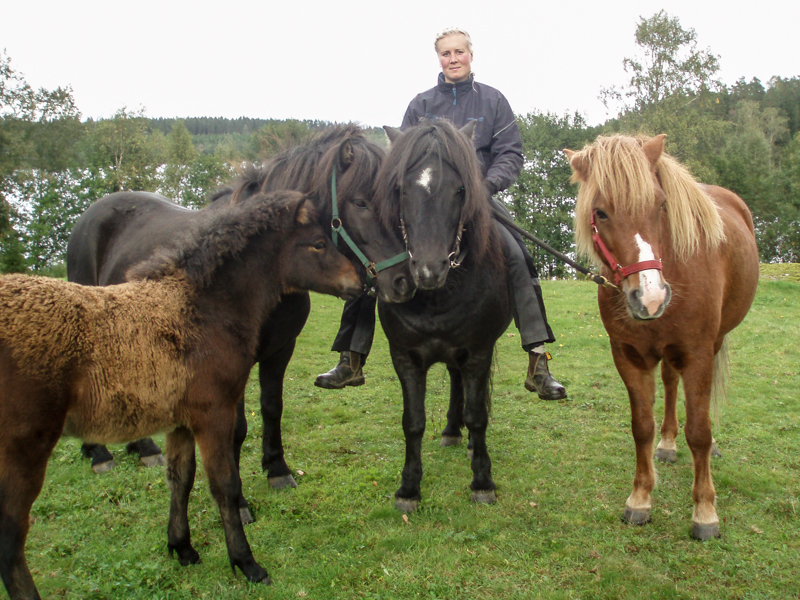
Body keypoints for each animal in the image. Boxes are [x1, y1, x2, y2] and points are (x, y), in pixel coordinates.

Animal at [0, 190, 360, 596]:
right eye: (318, 244)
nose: (361, 281)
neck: (201, 308)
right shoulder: (213, 413)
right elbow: (224, 485)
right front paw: (246, 563)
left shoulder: (181, 420)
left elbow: (180, 479)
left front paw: (181, 547)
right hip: (23, 448)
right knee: (10, 539)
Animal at [67, 123, 412, 520]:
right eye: (360, 203)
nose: (404, 280)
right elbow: (236, 427)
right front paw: (240, 502)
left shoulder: (280, 349)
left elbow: (272, 407)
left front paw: (277, 470)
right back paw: (99, 454)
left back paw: (145, 450)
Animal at [376, 120, 512, 510]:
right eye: (402, 190)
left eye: (460, 189)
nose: (428, 270)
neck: (438, 298)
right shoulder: (404, 357)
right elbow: (413, 421)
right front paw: (408, 488)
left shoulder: (479, 352)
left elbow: (478, 416)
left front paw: (482, 482)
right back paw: (452, 431)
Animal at [564, 135, 760, 540]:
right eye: (600, 212)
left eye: (660, 205)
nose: (651, 297)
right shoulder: (629, 356)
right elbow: (642, 428)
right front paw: (640, 499)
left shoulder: (698, 353)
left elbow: (699, 431)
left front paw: (705, 511)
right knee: (670, 383)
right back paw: (668, 443)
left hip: (713, 343)